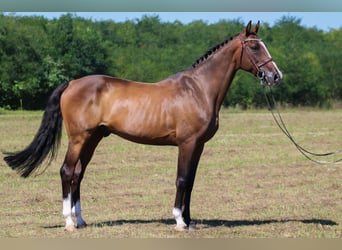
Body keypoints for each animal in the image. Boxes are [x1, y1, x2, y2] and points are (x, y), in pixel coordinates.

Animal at [3, 21, 280, 232]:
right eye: (254, 46)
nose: (275, 76)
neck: (199, 89)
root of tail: (71, 83)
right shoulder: (187, 143)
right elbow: (181, 179)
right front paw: (180, 221)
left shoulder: (198, 145)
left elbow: (190, 181)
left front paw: (189, 220)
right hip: (79, 138)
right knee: (66, 171)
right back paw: (69, 223)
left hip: (93, 138)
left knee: (78, 173)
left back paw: (81, 220)